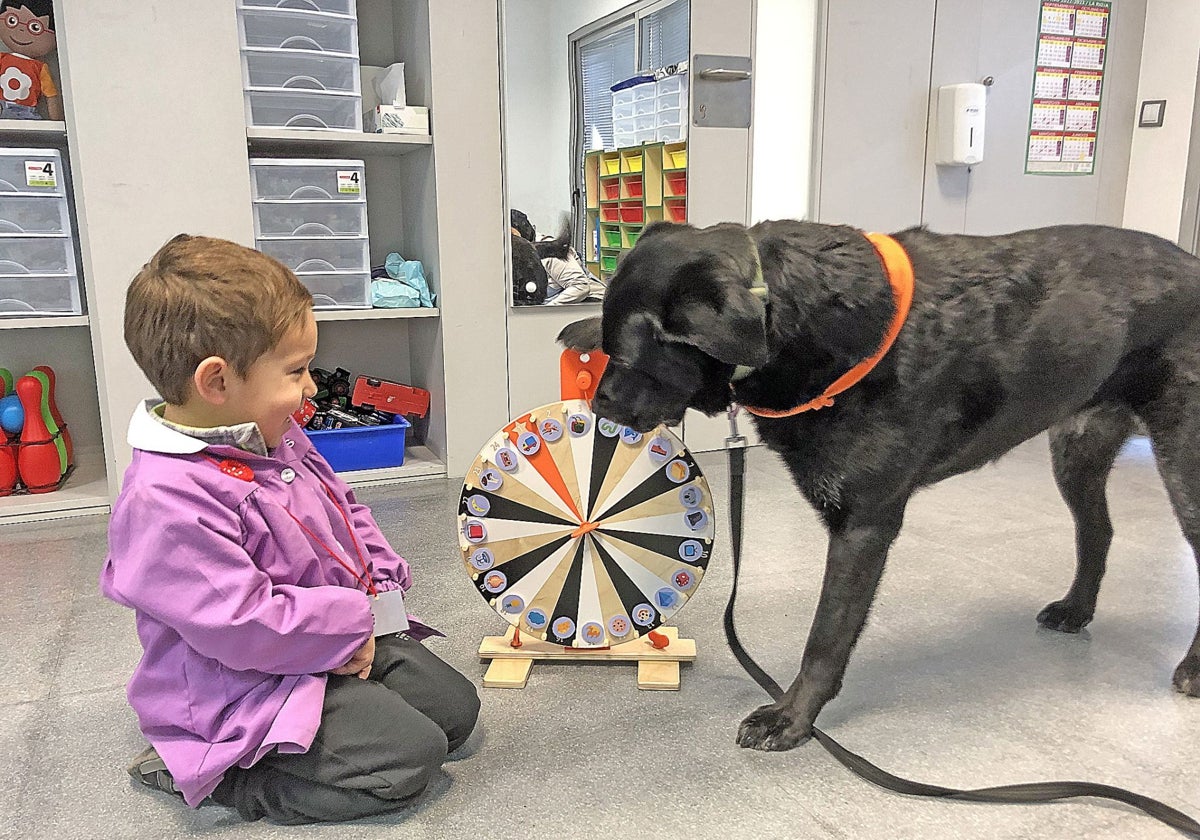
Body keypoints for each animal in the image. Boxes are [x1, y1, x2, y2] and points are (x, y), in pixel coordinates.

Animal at [556, 219, 1200, 753]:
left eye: (628, 357)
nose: (596, 403)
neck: (795, 322)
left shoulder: (863, 524)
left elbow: (826, 635)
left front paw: (792, 718)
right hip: (1076, 447)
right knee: (1099, 530)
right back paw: (1076, 609)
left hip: (1182, 466)